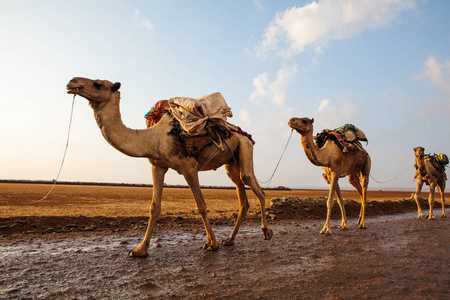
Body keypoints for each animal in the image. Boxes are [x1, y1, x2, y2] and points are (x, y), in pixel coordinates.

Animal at [65, 77, 272, 258]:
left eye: (97, 84)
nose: (72, 82)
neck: (153, 139)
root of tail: (243, 133)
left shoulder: (189, 167)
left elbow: (201, 205)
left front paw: (212, 244)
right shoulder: (158, 166)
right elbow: (154, 207)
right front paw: (139, 250)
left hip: (245, 147)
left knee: (254, 185)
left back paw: (266, 232)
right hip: (231, 162)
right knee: (242, 195)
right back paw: (230, 239)